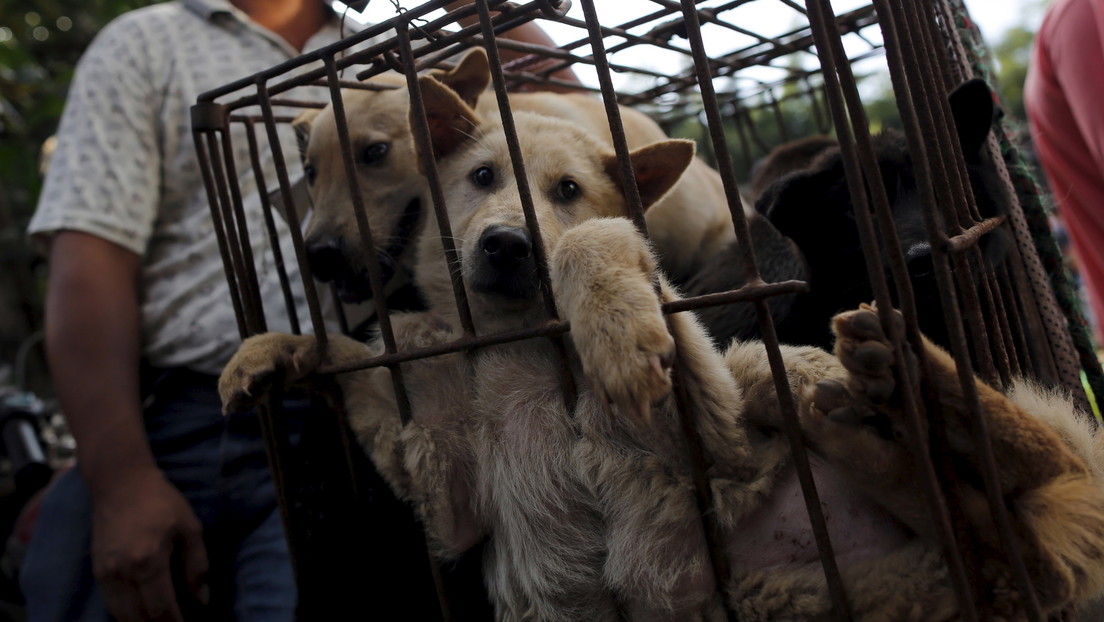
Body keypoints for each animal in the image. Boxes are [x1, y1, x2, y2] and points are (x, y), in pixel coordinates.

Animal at [217, 71, 1104, 618]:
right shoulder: (454, 504)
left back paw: (911, 374)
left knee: (1046, 477)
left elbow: (607, 244)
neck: (519, 351)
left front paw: (616, 329)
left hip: (756, 379)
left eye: (567, 192)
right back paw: (889, 422)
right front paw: (281, 353)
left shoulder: (708, 436)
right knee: (997, 544)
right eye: (479, 178)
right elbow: (362, 379)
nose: (506, 244)